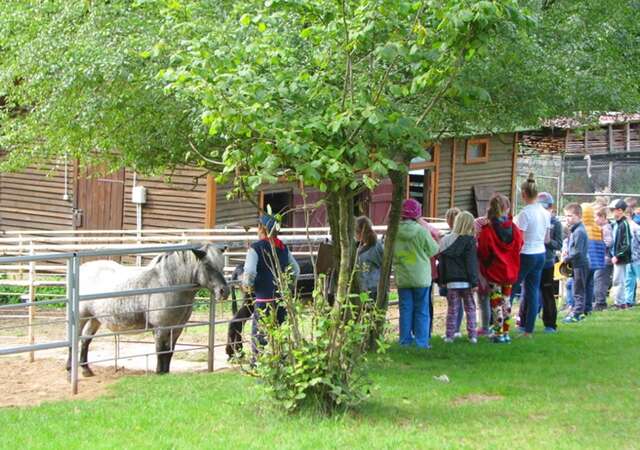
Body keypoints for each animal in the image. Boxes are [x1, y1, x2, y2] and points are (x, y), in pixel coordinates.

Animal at [65, 244, 229, 374]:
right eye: (208, 266)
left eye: (222, 266)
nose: (224, 291)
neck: (168, 283)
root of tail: (81, 269)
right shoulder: (160, 329)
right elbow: (161, 352)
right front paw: (159, 373)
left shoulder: (176, 329)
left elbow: (169, 352)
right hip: (81, 316)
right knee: (75, 337)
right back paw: (70, 368)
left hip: (95, 318)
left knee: (86, 339)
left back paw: (86, 370)